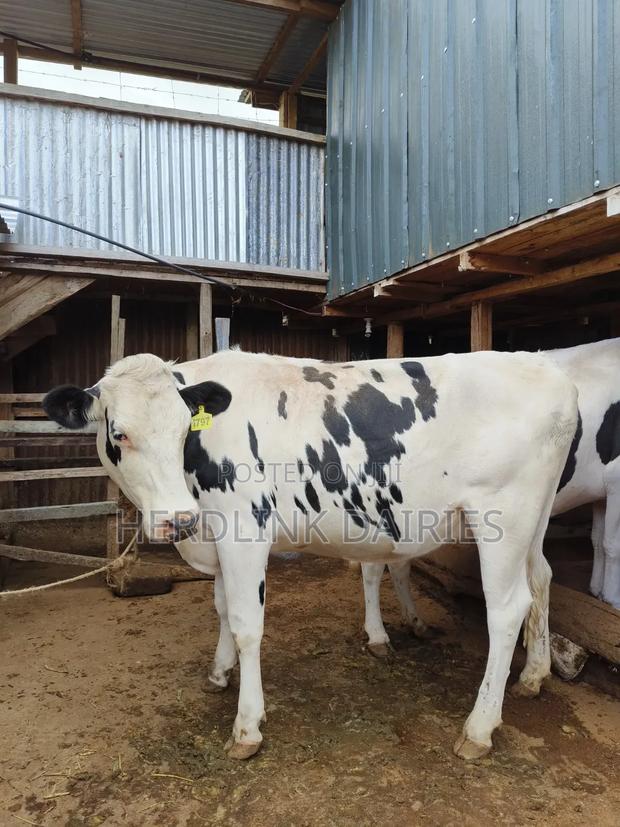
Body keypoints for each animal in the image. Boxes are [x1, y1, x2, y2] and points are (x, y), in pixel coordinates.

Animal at [43, 349, 578, 761]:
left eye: (182, 432)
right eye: (119, 433)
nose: (179, 519)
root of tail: (547, 370)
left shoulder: (243, 531)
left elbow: (246, 623)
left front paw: (247, 726)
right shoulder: (216, 535)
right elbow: (221, 608)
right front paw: (219, 672)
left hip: (502, 519)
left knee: (507, 609)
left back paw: (479, 729)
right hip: (533, 521)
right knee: (542, 579)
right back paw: (533, 675)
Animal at [359, 337, 620, 657]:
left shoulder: (601, 493)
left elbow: (598, 541)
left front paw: (597, 589)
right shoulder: (616, 478)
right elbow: (611, 544)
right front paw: (612, 599)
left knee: (397, 562)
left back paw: (414, 623)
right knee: (373, 566)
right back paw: (378, 635)